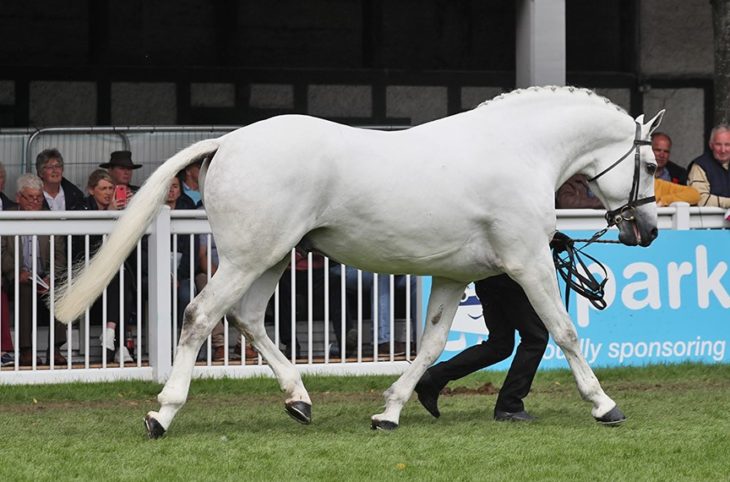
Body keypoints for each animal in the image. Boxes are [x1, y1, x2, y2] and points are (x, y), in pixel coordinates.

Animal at [54, 86, 664, 438]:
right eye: (654, 165)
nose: (649, 230)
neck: (518, 150)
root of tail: (229, 141)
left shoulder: (453, 275)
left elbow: (432, 345)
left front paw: (389, 412)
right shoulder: (529, 263)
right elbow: (564, 332)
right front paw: (605, 405)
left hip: (272, 258)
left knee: (248, 319)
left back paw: (299, 401)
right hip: (248, 257)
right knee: (200, 316)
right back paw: (162, 414)